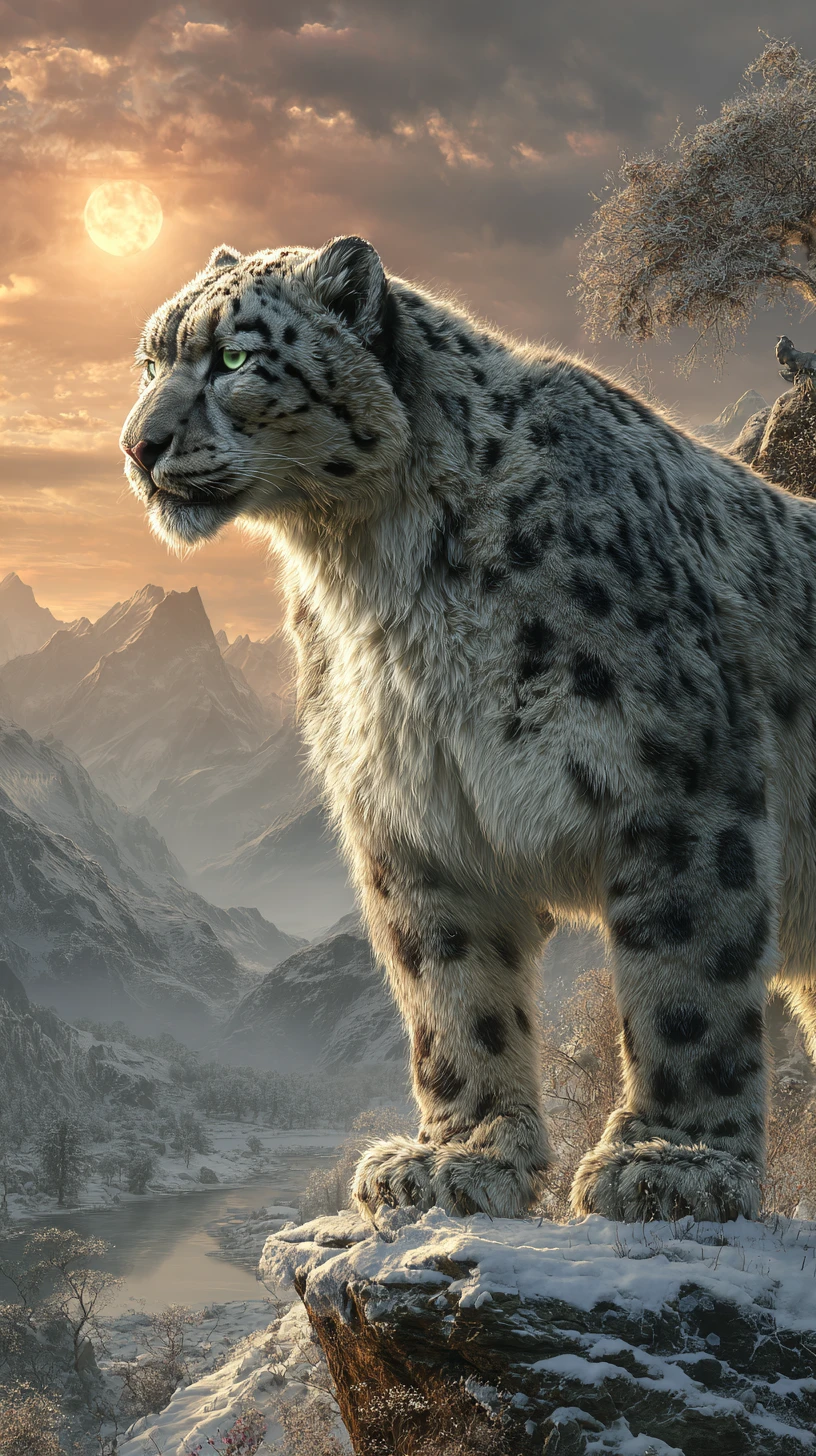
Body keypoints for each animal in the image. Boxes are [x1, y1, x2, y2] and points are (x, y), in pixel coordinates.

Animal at [120, 235, 816, 1224]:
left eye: (236, 358)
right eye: (149, 362)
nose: (138, 445)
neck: (375, 574)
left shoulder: (680, 777)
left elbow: (687, 978)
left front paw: (671, 1163)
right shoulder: (415, 814)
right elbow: (455, 994)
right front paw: (459, 1159)